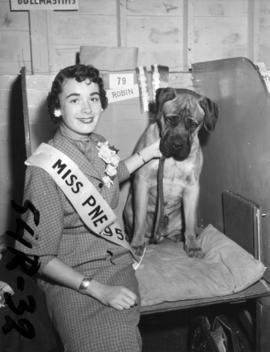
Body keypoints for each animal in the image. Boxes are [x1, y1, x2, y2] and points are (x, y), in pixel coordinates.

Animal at [123, 86, 218, 258]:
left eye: (193, 124)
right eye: (169, 119)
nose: (177, 145)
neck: (172, 160)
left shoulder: (191, 188)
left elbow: (190, 223)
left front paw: (192, 245)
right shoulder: (142, 182)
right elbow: (140, 219)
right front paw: (137, 244)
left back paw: (178, 236)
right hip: (128, 208)